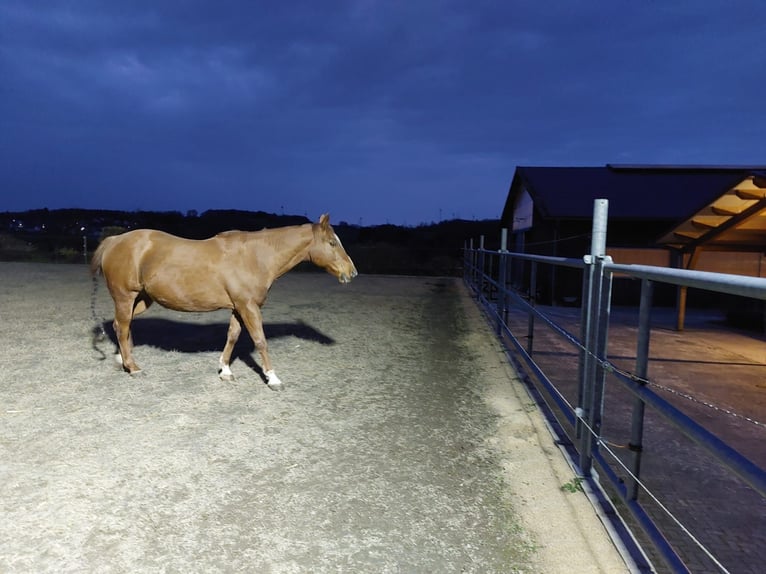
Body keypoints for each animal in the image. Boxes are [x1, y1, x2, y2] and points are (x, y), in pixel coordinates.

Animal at [90, 213, 357, 388]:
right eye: (332, 243)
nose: (352, 272)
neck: (256, 256)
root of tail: (114, 241)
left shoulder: (239, 307)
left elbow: (232, 336)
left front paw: (225, 371)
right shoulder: (249, 307)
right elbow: (260, 341)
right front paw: (273, 378)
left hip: (142, 300)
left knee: (121, 325)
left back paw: (123, 360)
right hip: (125, 297)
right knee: (122, 326)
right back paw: (133, 367)